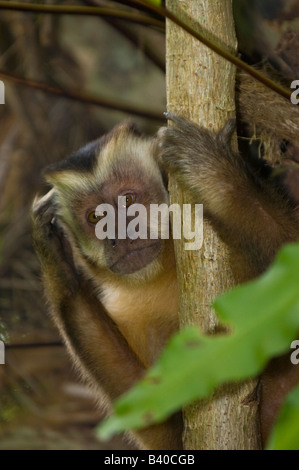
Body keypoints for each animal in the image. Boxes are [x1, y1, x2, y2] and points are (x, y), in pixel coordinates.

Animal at [32, 106, 299, 448]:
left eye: (128, 200)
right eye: (95, 217)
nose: (117, 235)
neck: (166, 270)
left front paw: (215, 171)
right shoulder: (130, 312)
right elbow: (160, 422)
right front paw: (59, 267)